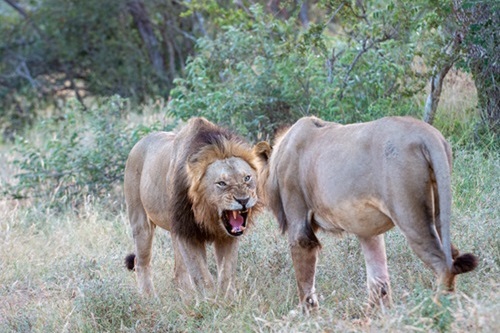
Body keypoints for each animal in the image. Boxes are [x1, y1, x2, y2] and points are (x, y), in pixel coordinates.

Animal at [123, 116, 264, 296]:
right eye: (221, 183)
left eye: (247, 178)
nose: (243, 200)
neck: (208, 214)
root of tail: (139, 142)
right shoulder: (187, 232)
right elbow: (202, 276)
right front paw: (210, 301)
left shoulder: (226, 236)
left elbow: (226, 273)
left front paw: (227, 299)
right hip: (141, 222)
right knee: (142, 263)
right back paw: (150, 298)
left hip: (174, 229)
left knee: (179, 272)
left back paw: (188, 298)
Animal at [256, 115, 478, 310]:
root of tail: (428, 134)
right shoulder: (367, 230)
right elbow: (378, 278)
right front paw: (377, 315)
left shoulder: (299, 223)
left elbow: (305, 281)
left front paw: (308, 316)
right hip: (439, 207)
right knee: (453, 255)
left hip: (410, 214)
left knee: (443, 265)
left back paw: (436, 311)